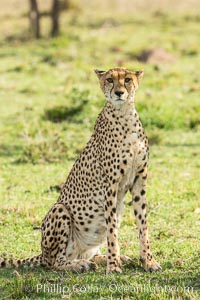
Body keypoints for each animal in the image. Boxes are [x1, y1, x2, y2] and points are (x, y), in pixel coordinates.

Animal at [0, 67, 161, 274]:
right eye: (110, 80)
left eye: (127, 79)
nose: (119, 93)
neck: (124, 115)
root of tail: (42, 253)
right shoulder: (110, 185)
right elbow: (112, 231)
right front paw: (113, 266)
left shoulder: (139, 180)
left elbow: (142, 224)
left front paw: (147, 261)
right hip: (60, 210)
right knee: (53, 263)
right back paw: (81, 264)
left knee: (87, 253)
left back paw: (111, 259)